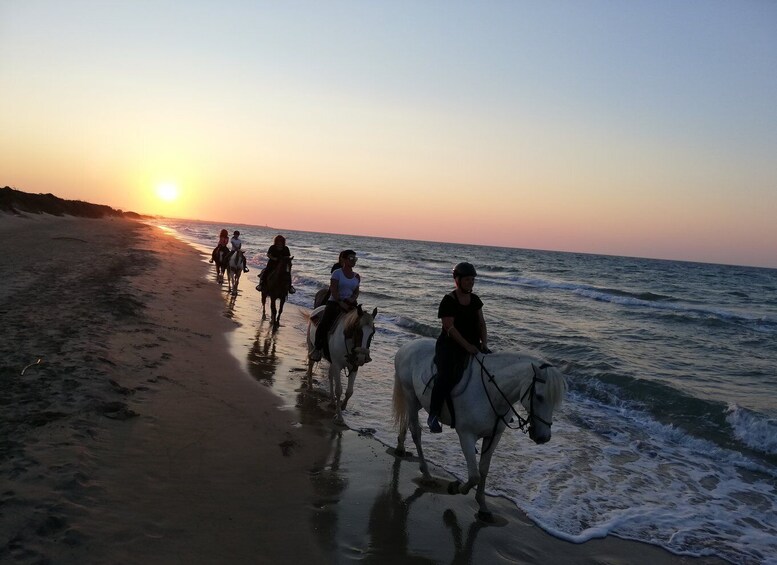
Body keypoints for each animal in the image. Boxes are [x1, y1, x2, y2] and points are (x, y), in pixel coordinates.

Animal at [394, 338, 564, 516]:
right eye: (539, 397)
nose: (544, 437)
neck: (492, 392)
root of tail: (407, 346)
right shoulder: (466, 435)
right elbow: (474, 476)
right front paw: (454, 487)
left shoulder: (493, 436)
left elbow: (483, 469)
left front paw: (482, 505)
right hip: (410, 395)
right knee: (416, 432)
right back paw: (426, 473)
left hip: (418, 401)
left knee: (406, 420)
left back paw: (400, 447)